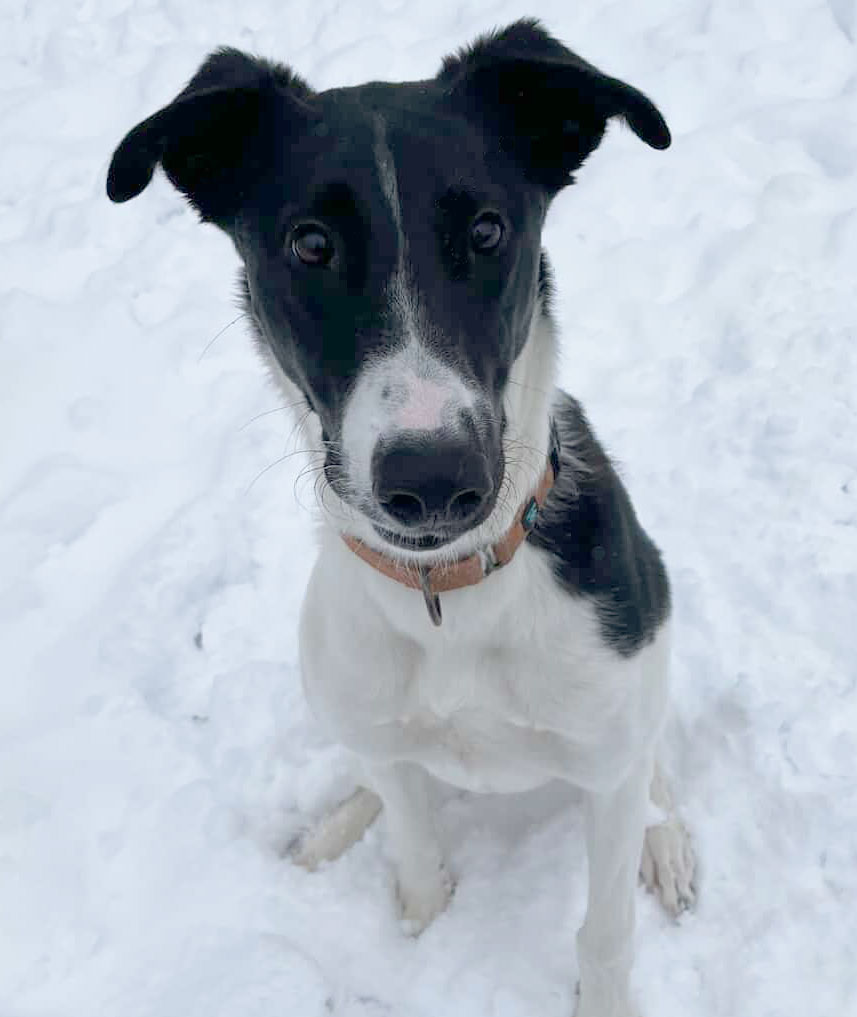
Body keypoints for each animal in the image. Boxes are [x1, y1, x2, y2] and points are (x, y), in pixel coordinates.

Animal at [107, 19, 696, 1016]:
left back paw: (669, 840)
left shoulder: (607, 752)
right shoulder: (388, 739)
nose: (432, 479)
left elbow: (605, 929)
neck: (448, 595)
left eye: (489, 230)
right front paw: (417, 919)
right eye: (309, 244)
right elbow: (418, 862)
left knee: (652, 767)